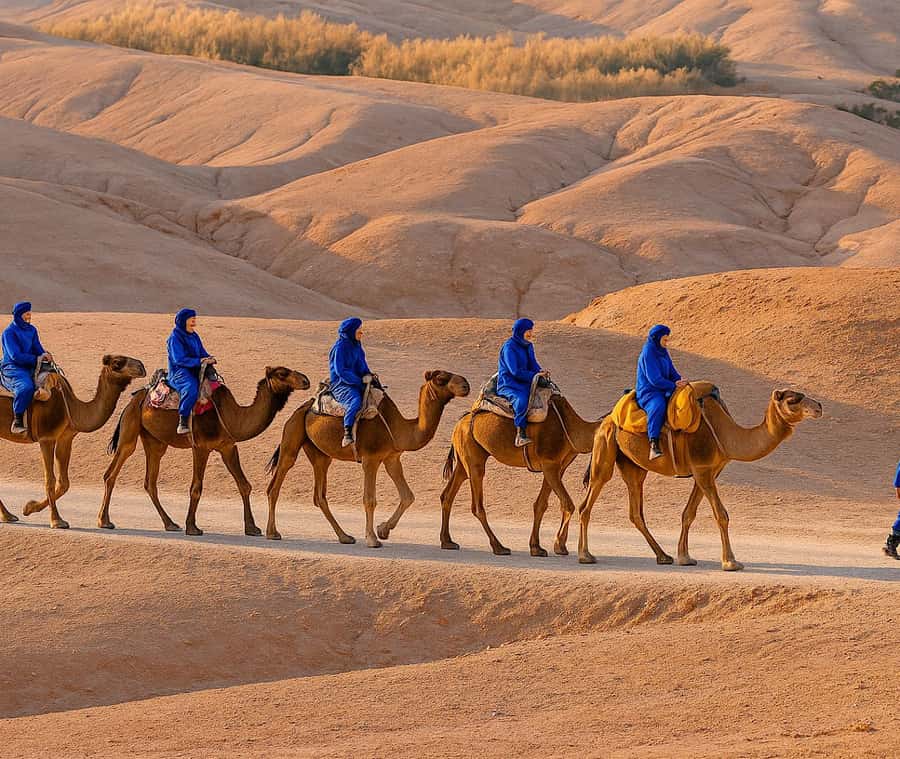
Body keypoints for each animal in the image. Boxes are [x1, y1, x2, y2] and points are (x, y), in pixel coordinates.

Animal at [0, 355, 147, 528]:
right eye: (117, 362)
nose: (141, 366)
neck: (71, 407)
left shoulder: (66, 438)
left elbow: (64, 483)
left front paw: (29, 507)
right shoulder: (47, 438)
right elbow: (50, 480)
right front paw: (56, 521)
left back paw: (8, 515)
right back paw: (8, 515)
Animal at [99, 366, 309, 536]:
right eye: (282, 373)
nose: (306, 380)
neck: (232, 416)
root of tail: (136, 397)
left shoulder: (227, 447)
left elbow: (244, 485)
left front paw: (252, 528)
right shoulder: (200, 447)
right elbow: (196, 488)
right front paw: (193, 528)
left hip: (155, 441)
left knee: (150, 482)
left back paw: (170, 524)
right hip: (131, 425)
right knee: (113, 470)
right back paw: (105, 521)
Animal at [265, 370, 470, 547]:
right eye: (441, 378)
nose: (466, 384)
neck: (399, 429)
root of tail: (304, 408)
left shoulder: (391, 459)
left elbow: (408, 496)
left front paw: (383, 530)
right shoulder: (370, 459)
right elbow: (369, 500)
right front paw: (372, 539)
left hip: (320, 454)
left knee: (319, 495)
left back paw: (345, 536)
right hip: (292, 434)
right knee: (276, 483)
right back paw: (272, 532)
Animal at [439, 396, 602, 556]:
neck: (571, 428)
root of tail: (460, 422)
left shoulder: (558, 467)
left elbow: (541, 505)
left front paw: (537, 547)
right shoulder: (549, 464)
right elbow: (568, 504)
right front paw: (559, 545)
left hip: (463, 459)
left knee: (447, 494)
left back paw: (447, 541)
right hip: (474, 460)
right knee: (477, 505)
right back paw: (499, 547)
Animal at [572, 384, 823, 570]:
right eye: (793, 399)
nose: (819, 406)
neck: (725, 434)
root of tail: (605, 420)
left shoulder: (709, 471)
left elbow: (688, 514)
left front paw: (684, 557)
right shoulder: (702, 469)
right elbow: (721, 515)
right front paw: (731, 562)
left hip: (633, 466)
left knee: (636, 511)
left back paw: (663, 556)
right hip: (604, 448)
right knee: (589, 499)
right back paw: (585, 555)